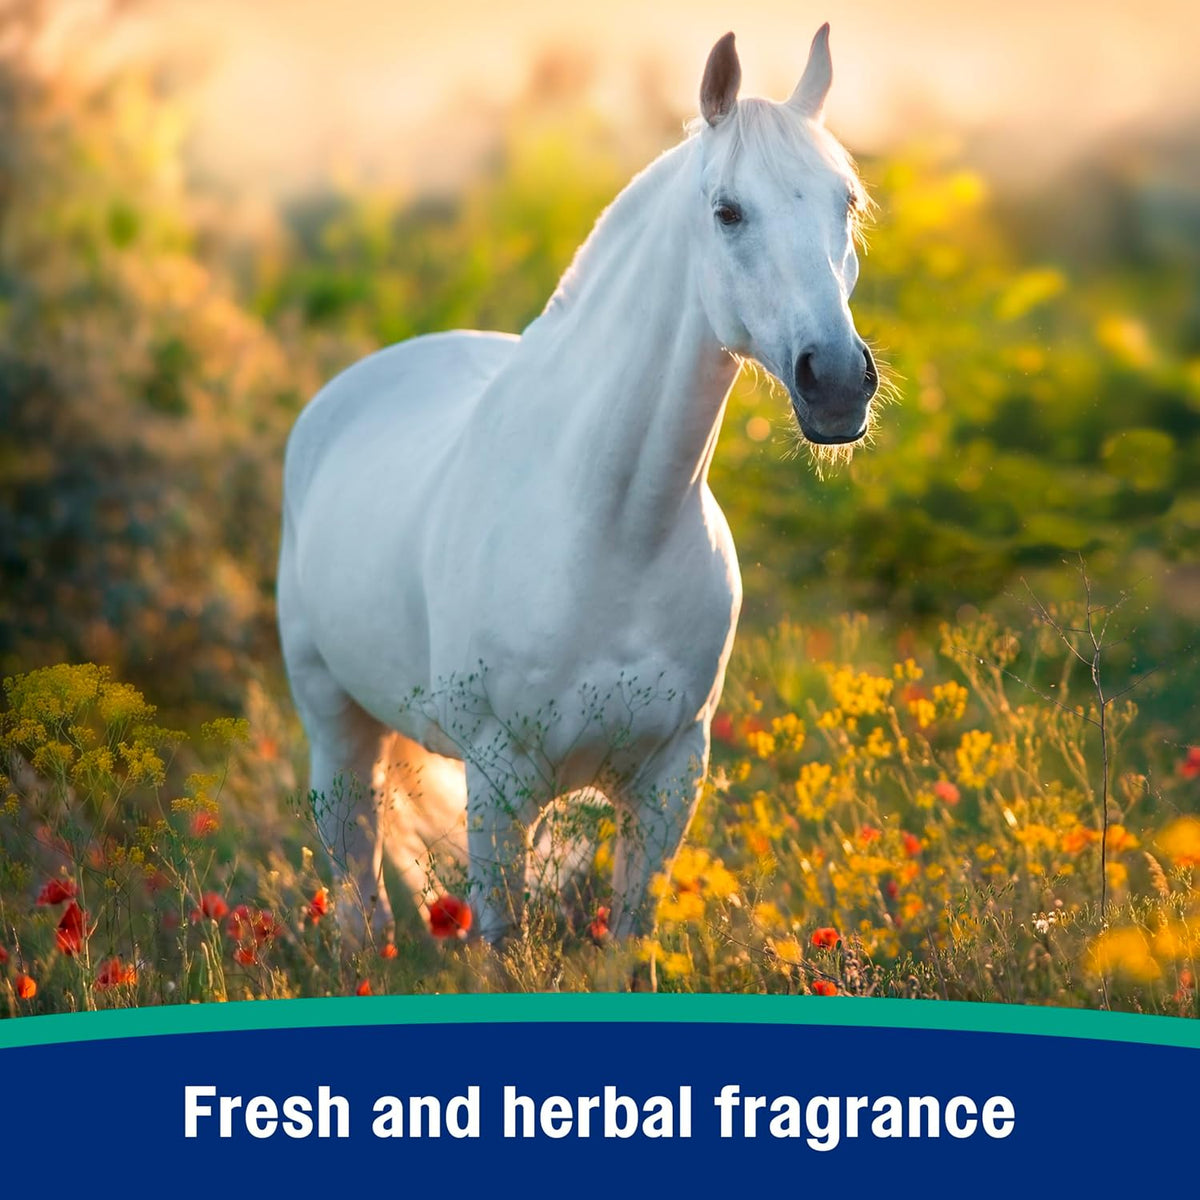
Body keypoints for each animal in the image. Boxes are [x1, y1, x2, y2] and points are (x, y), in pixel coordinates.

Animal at [277, 24, 880, 945]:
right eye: (727, 211)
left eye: (845, 202)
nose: (839, 382)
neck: (615, 529)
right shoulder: (498, 782)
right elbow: (499, 943)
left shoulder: (669, 781)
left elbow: (628, 942)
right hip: (337, 732)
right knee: (359, 897)